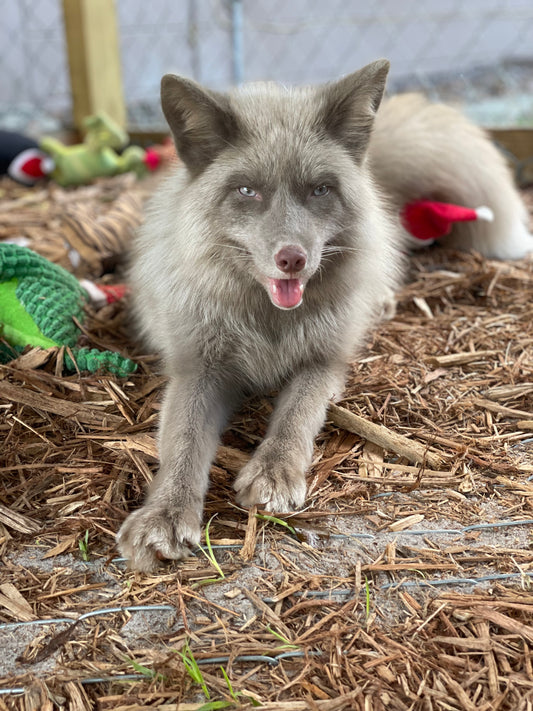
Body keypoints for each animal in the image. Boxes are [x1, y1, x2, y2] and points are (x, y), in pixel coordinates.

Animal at [117, 61, 532, 572]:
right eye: (247, 190)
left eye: (319, 189)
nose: (292, 259)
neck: (269, 327)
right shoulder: (198, 369)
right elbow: (183, 441)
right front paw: (166, 512)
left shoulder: (324, 362)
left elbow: (295, 416)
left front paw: (274, 471)